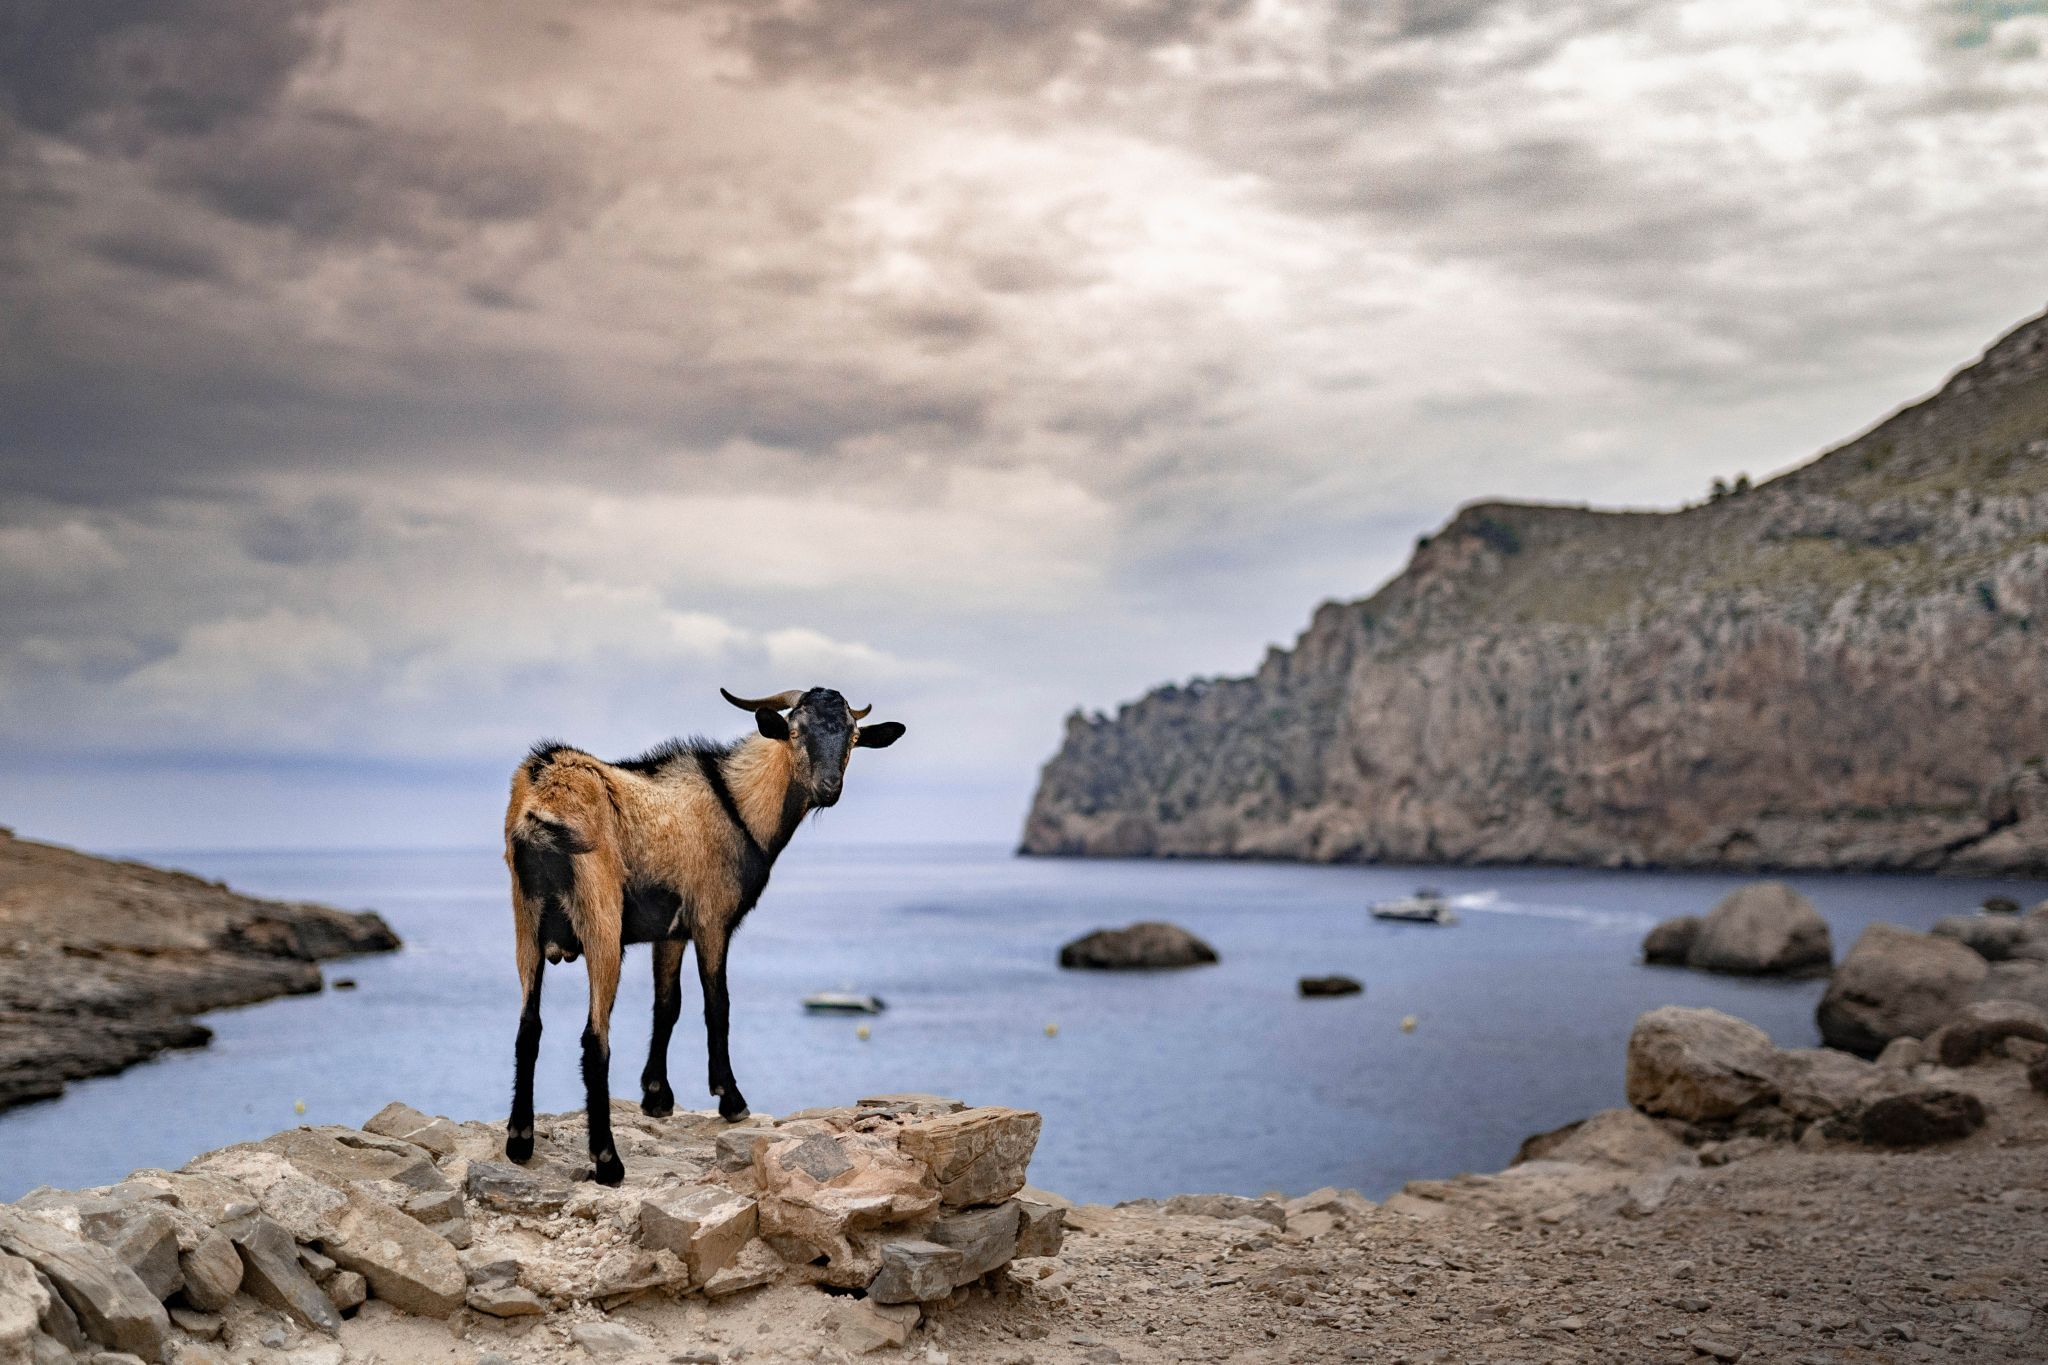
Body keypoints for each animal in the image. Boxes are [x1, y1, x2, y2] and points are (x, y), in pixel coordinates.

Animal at [502, 685, 905, 1184]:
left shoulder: (671, 930)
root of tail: (542, 798)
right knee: (594, 1039)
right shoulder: (712, 919)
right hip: (601, 921)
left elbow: (667, 1005)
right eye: (795, 732)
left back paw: (520, 1141)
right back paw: (608, 1161)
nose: (830, 788)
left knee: (528, 1027)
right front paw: (730, 1099)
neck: (737, 805)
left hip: (526, 923)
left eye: (852, 736)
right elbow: (718, 1006)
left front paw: (656, 1096)